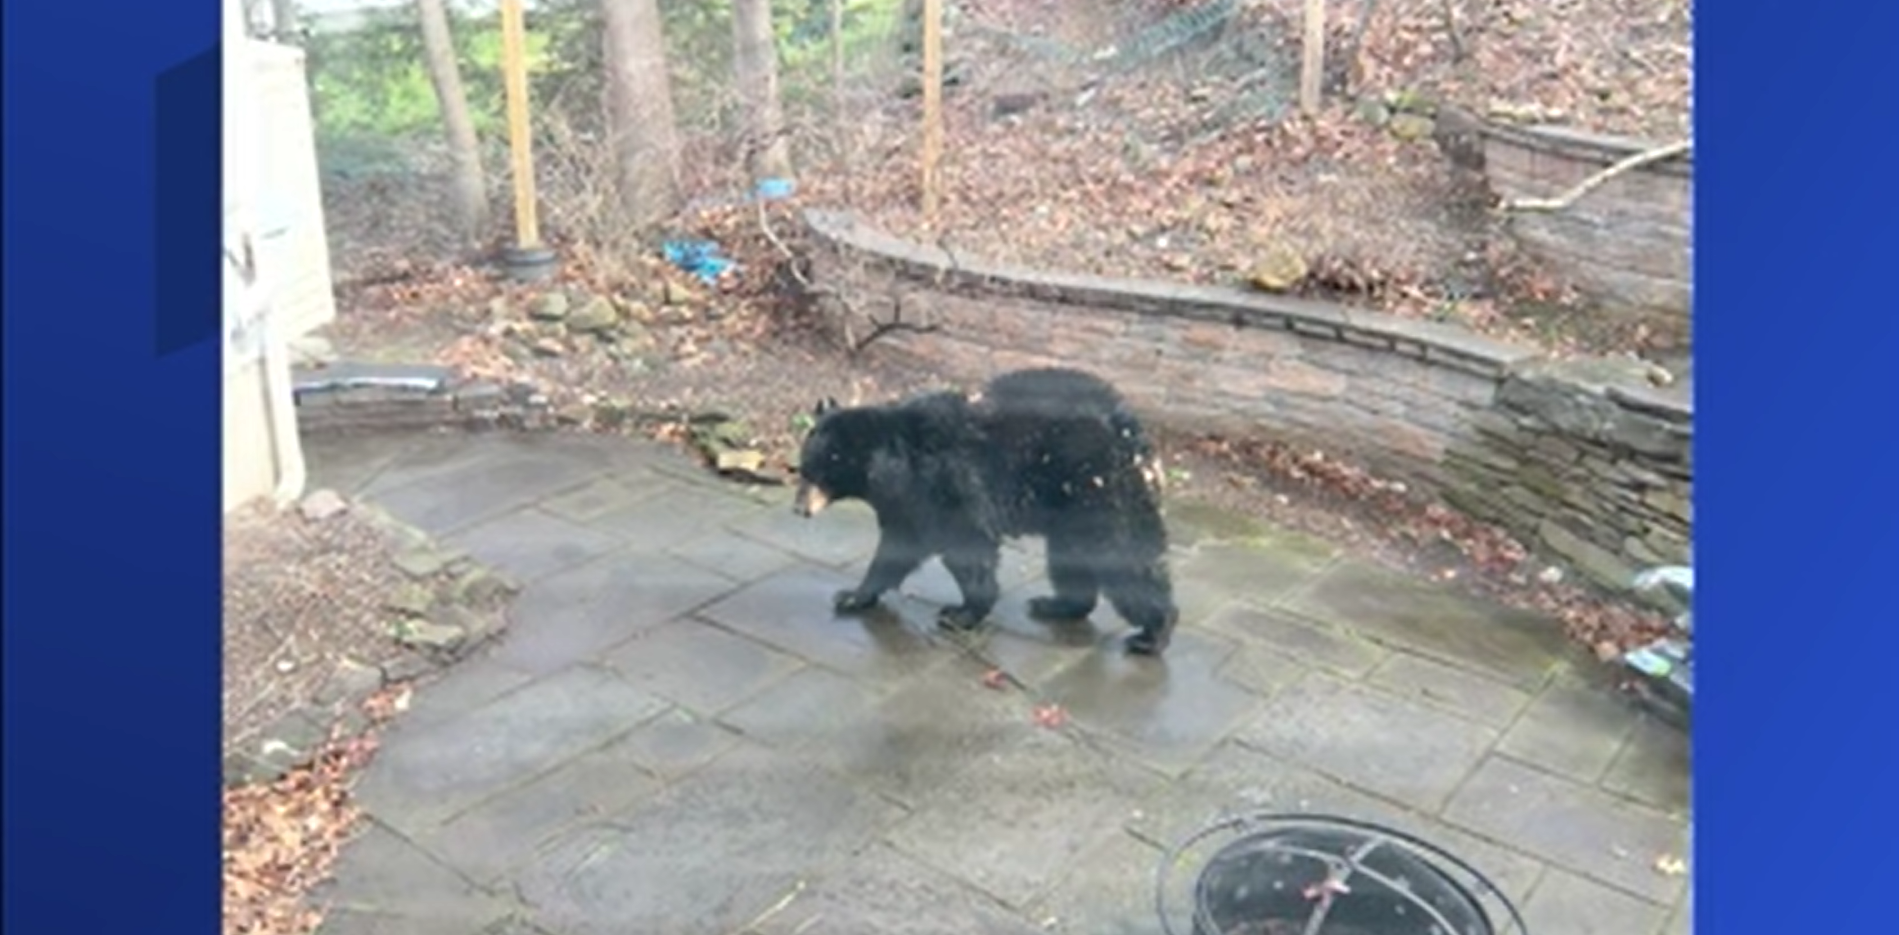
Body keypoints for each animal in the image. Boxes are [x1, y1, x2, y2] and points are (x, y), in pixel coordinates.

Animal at [792, 367, 1181, 655]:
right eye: (802, 470)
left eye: (817, 473)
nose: (798, 509)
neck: (896, 464)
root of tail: (1130, 426)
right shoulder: (908, 503)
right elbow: (898, 548)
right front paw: (854, 596)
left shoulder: (947, 487)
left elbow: (966, 547)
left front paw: (961, 614)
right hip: (1070, 507)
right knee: (1070, 556)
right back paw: (1058, 605)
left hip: (1098, 490)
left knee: (1123, 555)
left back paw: (1154, 632)